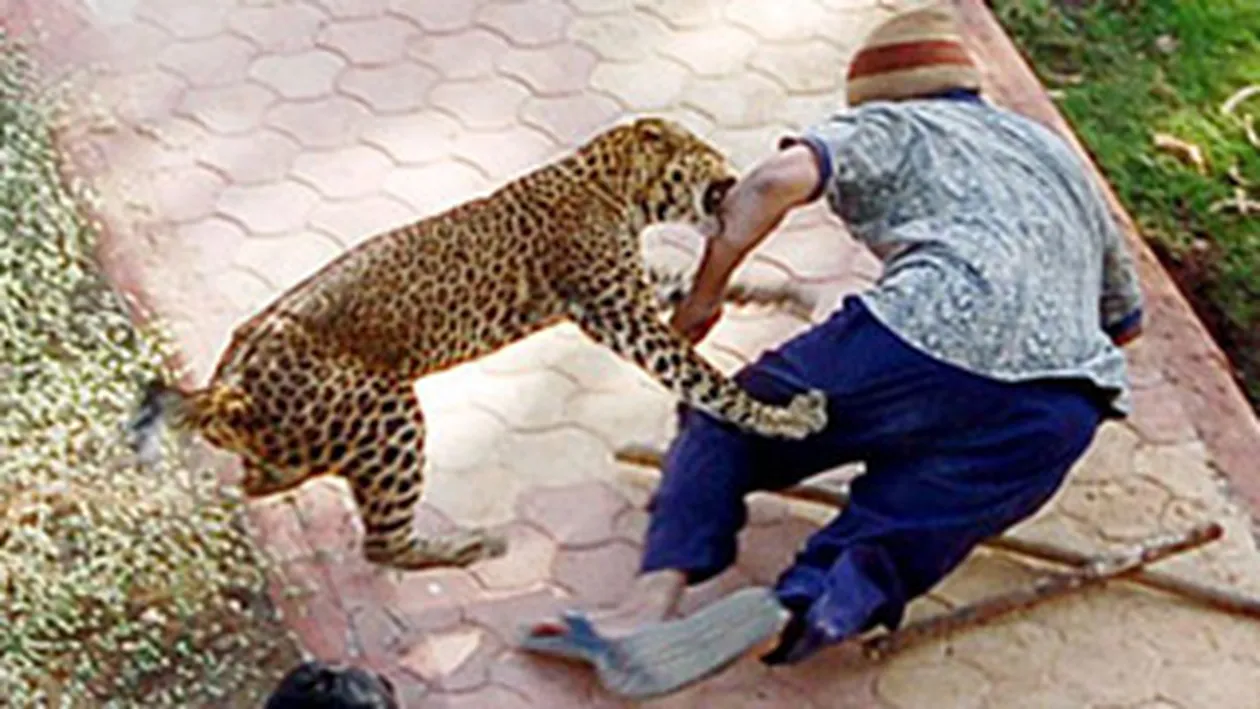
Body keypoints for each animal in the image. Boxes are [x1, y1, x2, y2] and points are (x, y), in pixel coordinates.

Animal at [126, 117, 828, 572]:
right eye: (707, 154)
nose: (734, 174)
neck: (615, 186)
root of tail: (226, 388)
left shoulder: (625, 290)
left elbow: (682, 280)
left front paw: (780, 292)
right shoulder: (620, 312)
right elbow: (709, 380)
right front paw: (785, 418)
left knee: (261, 479)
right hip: (387, 413)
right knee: (379, 544)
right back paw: (466, 547)